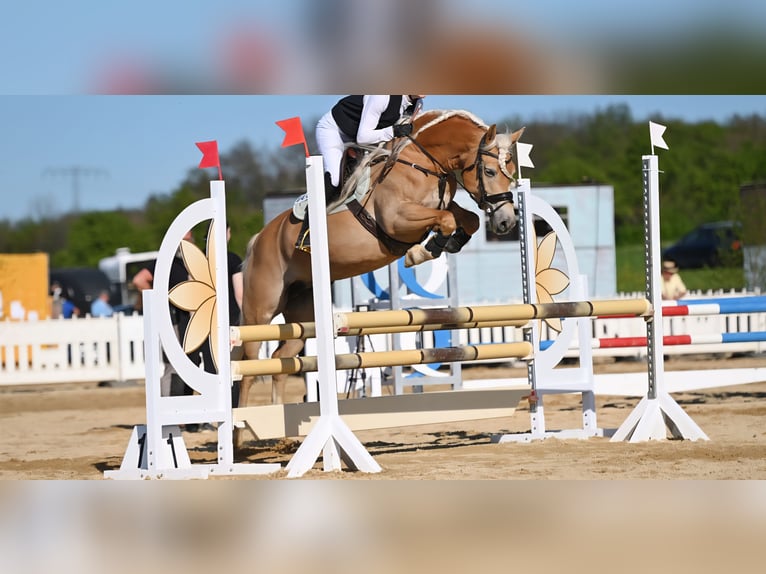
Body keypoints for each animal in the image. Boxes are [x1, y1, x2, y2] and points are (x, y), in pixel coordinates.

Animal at [237, 109, 524, 442]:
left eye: (511, 171)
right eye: (489, 171)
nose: (506, 222)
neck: (424, 162)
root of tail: (260, 237)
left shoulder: (438, 208)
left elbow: (467, 219)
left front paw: (442, 245)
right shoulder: (397, 219)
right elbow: (448, 219)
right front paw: (420, 253)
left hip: (304, 318)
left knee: (281, 360)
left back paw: (279, 433)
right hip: (261, 310)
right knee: (249, 364)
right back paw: (239, 434)